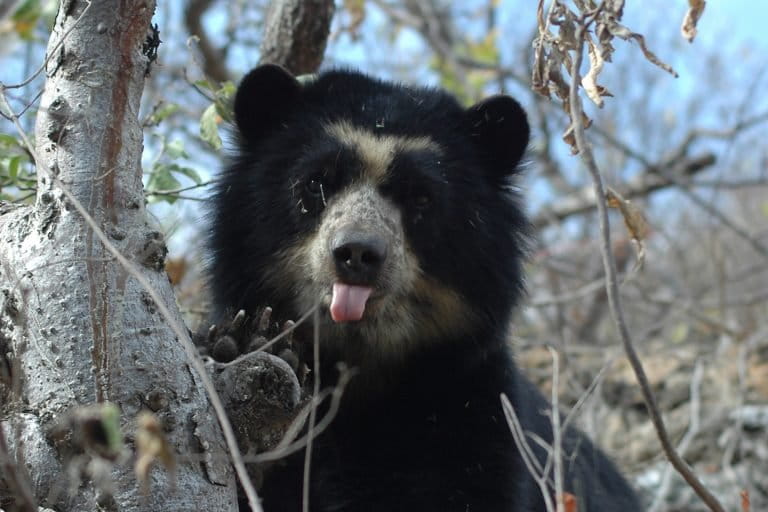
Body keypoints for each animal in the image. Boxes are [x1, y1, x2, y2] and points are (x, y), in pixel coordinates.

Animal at [208, 64, 642, 512]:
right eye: (315, 183)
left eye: (421, 197)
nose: (357, 253)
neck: (363, 368)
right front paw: (252, 343)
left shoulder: (472, 416)